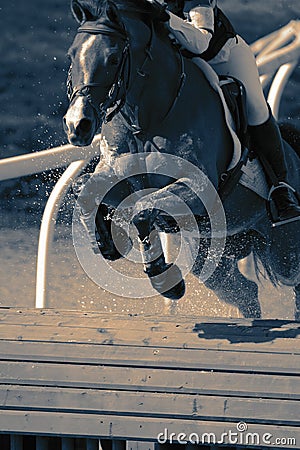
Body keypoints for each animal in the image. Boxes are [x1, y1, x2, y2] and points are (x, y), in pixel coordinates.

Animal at [63, 0, 300, 318]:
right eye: (71, 54)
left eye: (113, 58)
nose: (78, 125)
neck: (148, 117)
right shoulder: (119, 176)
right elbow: (87, 189)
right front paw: (106, 241)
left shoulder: (199, 187)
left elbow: (142, 210)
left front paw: (164, 281)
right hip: (212, 255)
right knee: (246, 292)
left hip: (285, 251)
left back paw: (284, 201)